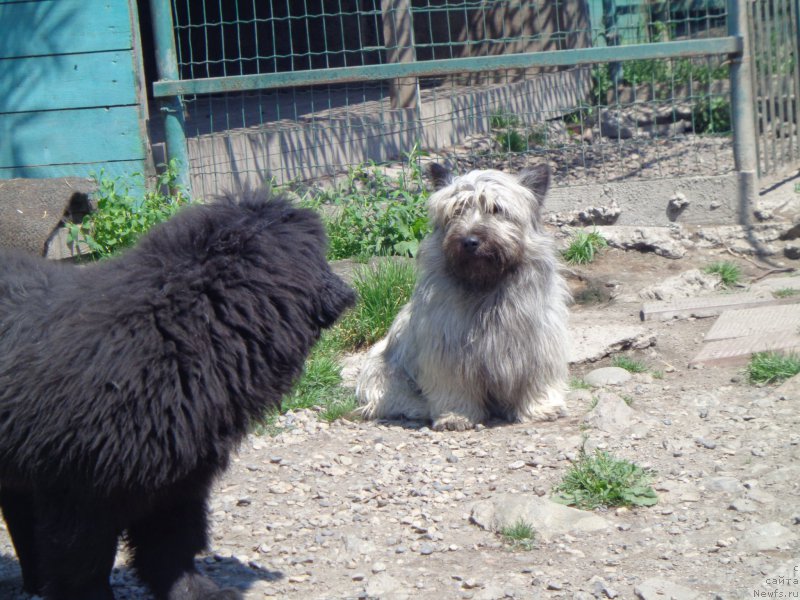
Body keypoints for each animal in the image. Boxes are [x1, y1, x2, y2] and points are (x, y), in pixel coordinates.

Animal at [0, 192, 356, 600]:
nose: (348, 293)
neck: (180, 327)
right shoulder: (77, 488)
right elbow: (83, 563)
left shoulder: (179, 476)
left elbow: (172, 543)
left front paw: (197, 591)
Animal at [356, 164, 568, 432]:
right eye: (456, 211)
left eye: (496, 209)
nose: (469, 241)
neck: (485, 289)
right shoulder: (447, 354)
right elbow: (453, 387)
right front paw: (455, 415)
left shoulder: (538, 345)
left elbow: (536, 378)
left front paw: (541, 407)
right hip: (383, 373)